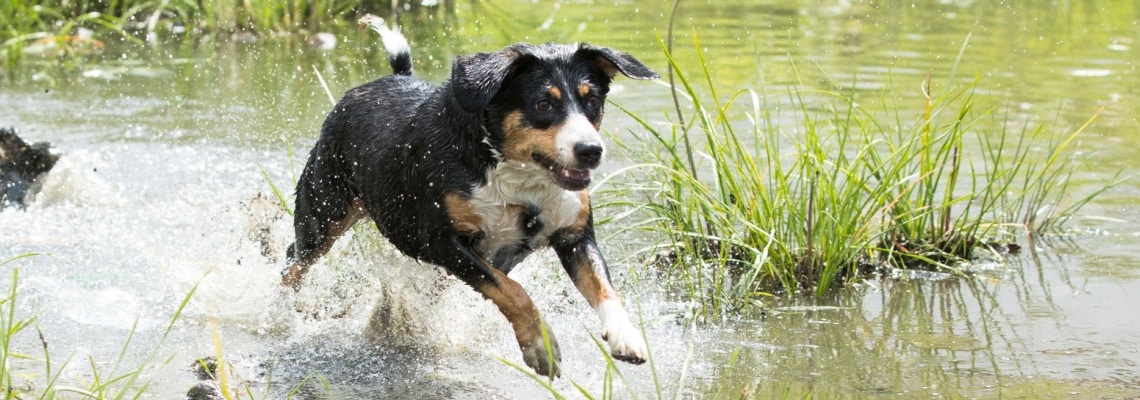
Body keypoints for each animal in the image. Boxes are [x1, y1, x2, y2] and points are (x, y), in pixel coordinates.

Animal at [281, 21, 661, 378]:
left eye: (591, 101)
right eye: (543, 103)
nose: (591, 151)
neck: (517, 179)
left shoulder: (574, 236)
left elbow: (604, 288)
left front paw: (626, 334)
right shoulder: (444, 242)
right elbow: (513, 291)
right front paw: (540, 344)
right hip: (324, 213)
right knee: (294, 263)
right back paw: (281, 313)